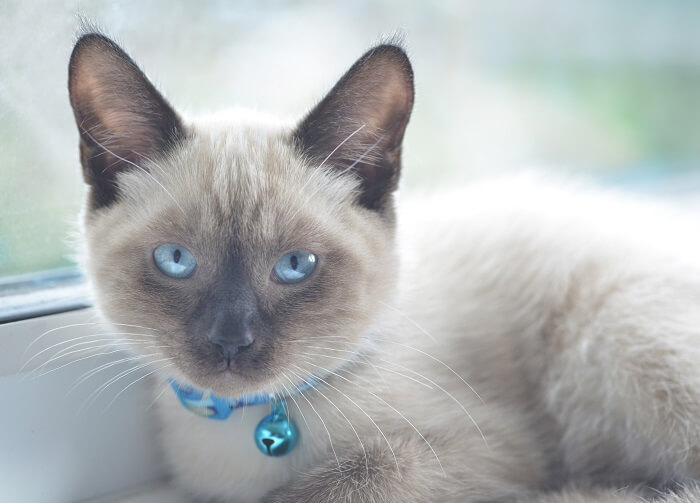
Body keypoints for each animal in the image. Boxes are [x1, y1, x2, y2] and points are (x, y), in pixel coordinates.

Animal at [68, 32, 700, 503]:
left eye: (296, 266)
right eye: (176, 260)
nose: (231, 344)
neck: (251, 426)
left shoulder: (487, 450)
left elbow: (332, 484)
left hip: (616, 330)